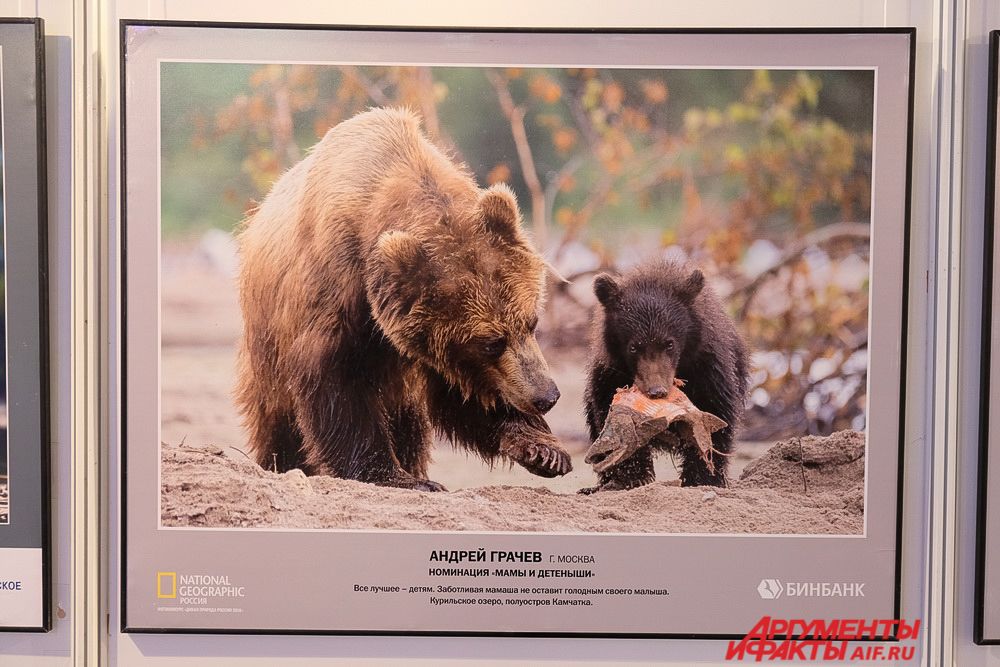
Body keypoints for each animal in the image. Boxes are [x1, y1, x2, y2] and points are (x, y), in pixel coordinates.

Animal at [229, 105, 568, 490]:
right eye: (490, 342)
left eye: (532, 322)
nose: (546, 396)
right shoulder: (336, 291)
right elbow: (338, 384)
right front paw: (397, 476)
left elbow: (463, 391)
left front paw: (543, 449)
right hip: (266, 342)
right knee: (278, 417)